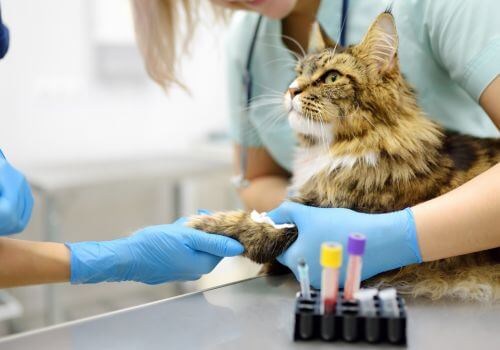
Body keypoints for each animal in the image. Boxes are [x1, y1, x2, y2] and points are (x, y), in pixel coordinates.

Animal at [188, 10, 500, 300]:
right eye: (298, 73)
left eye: (332, 77)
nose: (291, 90)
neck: (332, 150)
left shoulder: (319, 218)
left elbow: (257, 228)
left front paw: (199, 223)